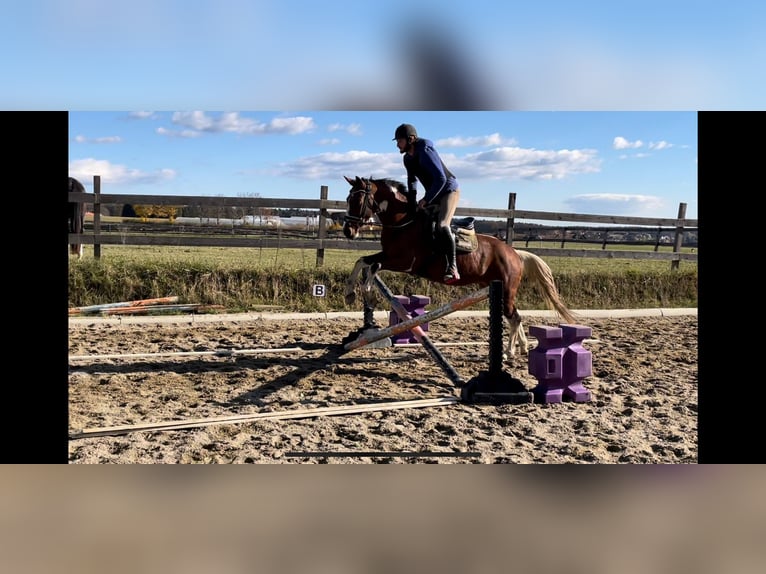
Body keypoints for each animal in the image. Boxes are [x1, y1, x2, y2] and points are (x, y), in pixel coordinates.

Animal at [341, 175, 576, 360]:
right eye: (347, 199)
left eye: (358, 199)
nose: (348, 231)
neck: (403, 222)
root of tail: (514, 253)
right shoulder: (389, 255)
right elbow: (362, 261)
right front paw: (351, 293)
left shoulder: (405, 262)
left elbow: (374, 266)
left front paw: (367, 292)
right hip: (495, 288)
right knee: (514, 316)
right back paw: (523, 348)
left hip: (506, 288)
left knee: (514, 317)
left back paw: (508, 352)